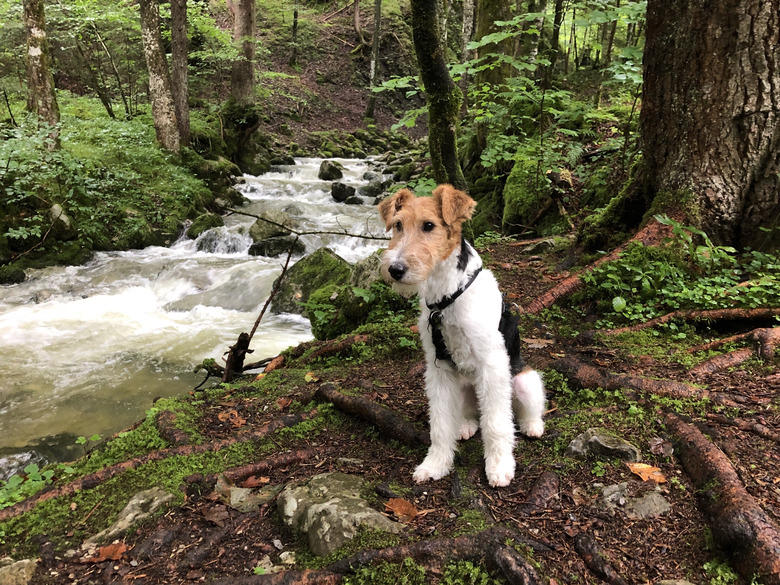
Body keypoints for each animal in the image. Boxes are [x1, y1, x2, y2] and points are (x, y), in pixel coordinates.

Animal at [380, 185, 544, 486]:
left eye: (429, 225)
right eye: (397, 225)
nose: (395, 270)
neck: (445, 299)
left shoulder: (492, 364)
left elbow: (496, 424)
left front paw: (499, 466)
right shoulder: (438, 368)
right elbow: (440, 424)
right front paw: (435, 465)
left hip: (524, 380)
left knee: (526, 409)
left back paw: (532, 425)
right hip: (463, 386)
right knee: (471, 415)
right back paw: (465, 426)